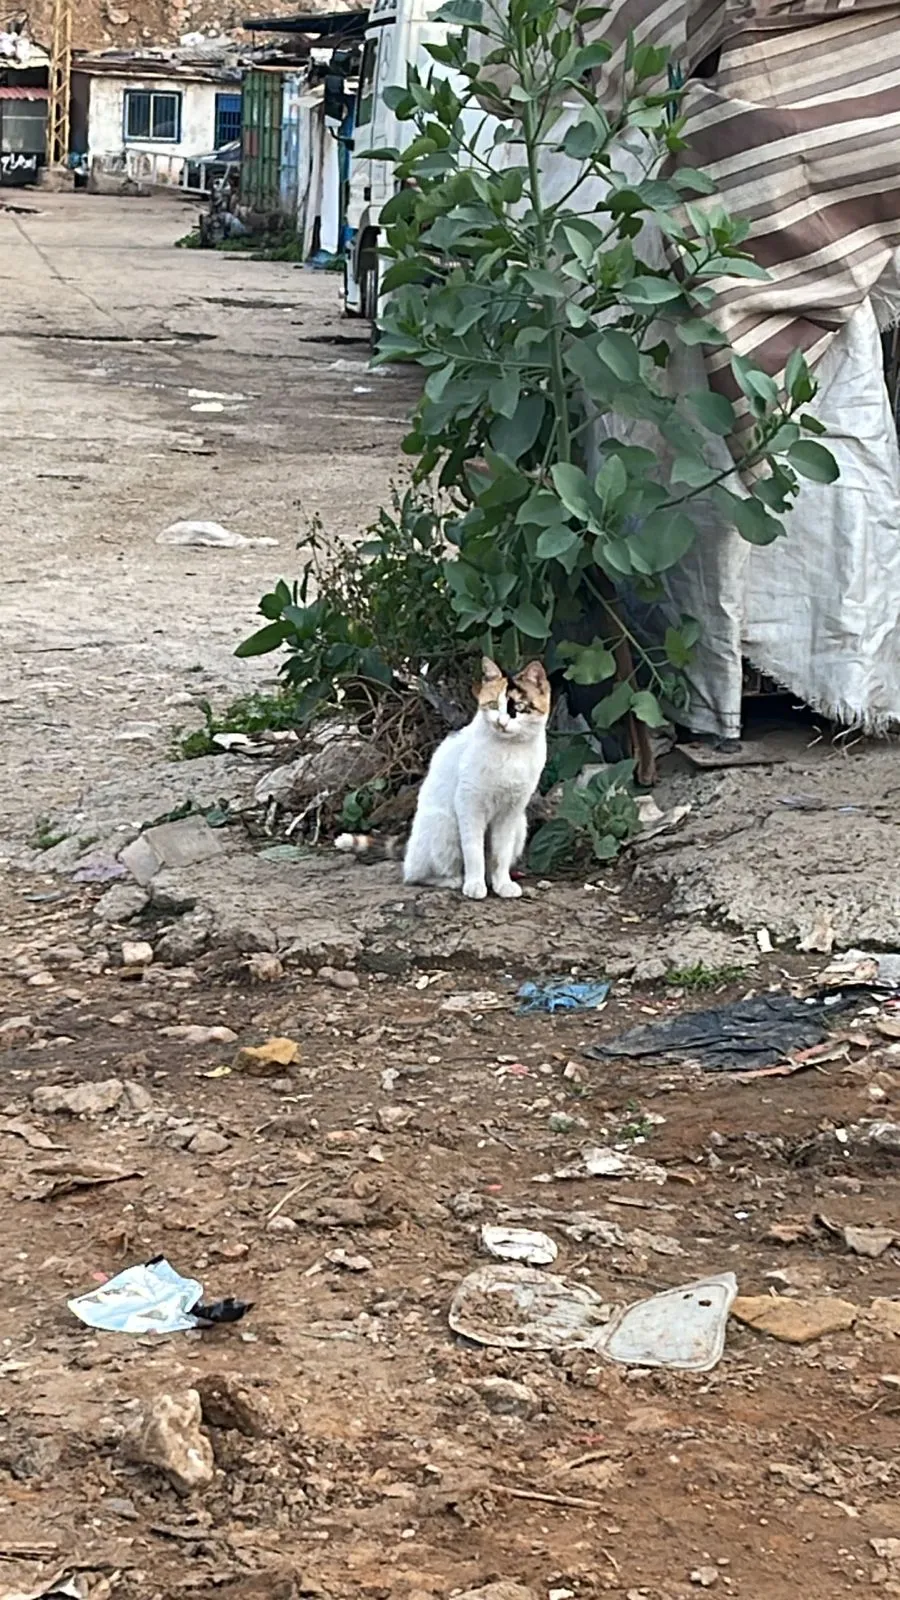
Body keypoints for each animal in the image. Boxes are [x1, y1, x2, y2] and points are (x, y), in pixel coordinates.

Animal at [401, 657, 550, 899]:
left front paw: (502, 884)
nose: (501, 722)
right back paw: (454, 881)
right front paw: (474, 885)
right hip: (444, 827)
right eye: (493, 705)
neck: (510, 750)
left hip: (520, 825)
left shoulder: (510, 812)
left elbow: (500, 856)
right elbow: (474, 852)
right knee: (417, 875)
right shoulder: (470, 805)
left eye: (518, 707)